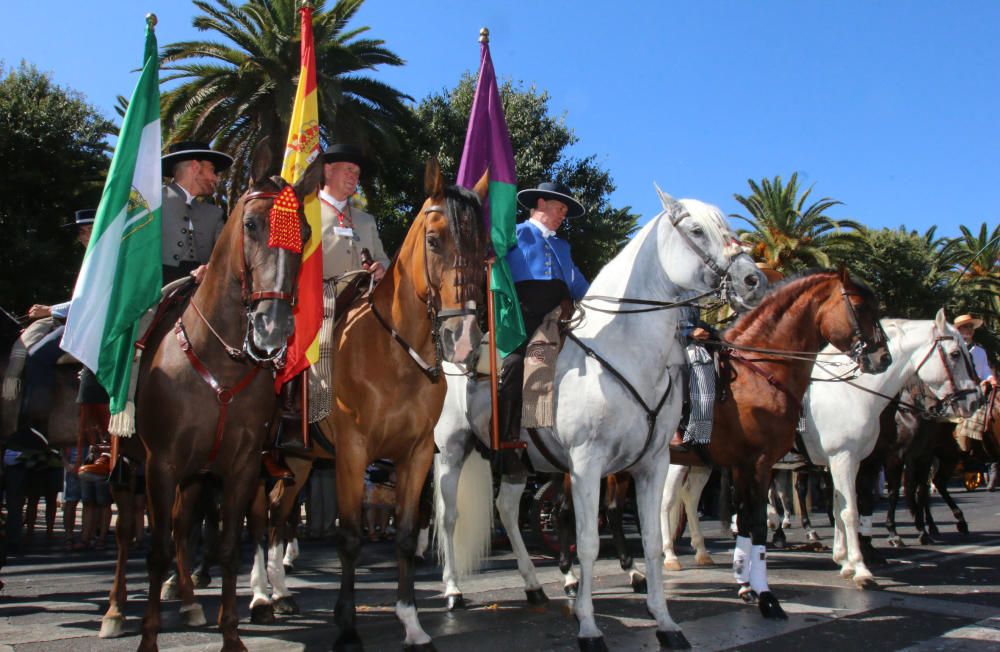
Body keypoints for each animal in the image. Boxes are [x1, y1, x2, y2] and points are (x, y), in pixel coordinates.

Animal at [103, 144, 322, 652]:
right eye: (251, 224)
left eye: (303, 232)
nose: (273, 329)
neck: (221, 360)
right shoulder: (161, 464)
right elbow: (157, 550)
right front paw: (149, 638)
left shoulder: (240, 467)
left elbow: (225, 547)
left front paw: (232, 634)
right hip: (129, 467)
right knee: (127, 535)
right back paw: (116, 610)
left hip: (198, 474)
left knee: (185, 524)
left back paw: (187, 600)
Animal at [432, 187, 764, 648]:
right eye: (697, 230)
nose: (754, 280)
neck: (623, 350)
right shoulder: (587, 464)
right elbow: (588, 541)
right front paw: (588, 625)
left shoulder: (651, 464)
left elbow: (652, 539)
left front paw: (665, 621)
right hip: (453, 450)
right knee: (449, 518)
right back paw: (452, 591)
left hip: (518, 462)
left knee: (506, 509)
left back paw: (533, 585)